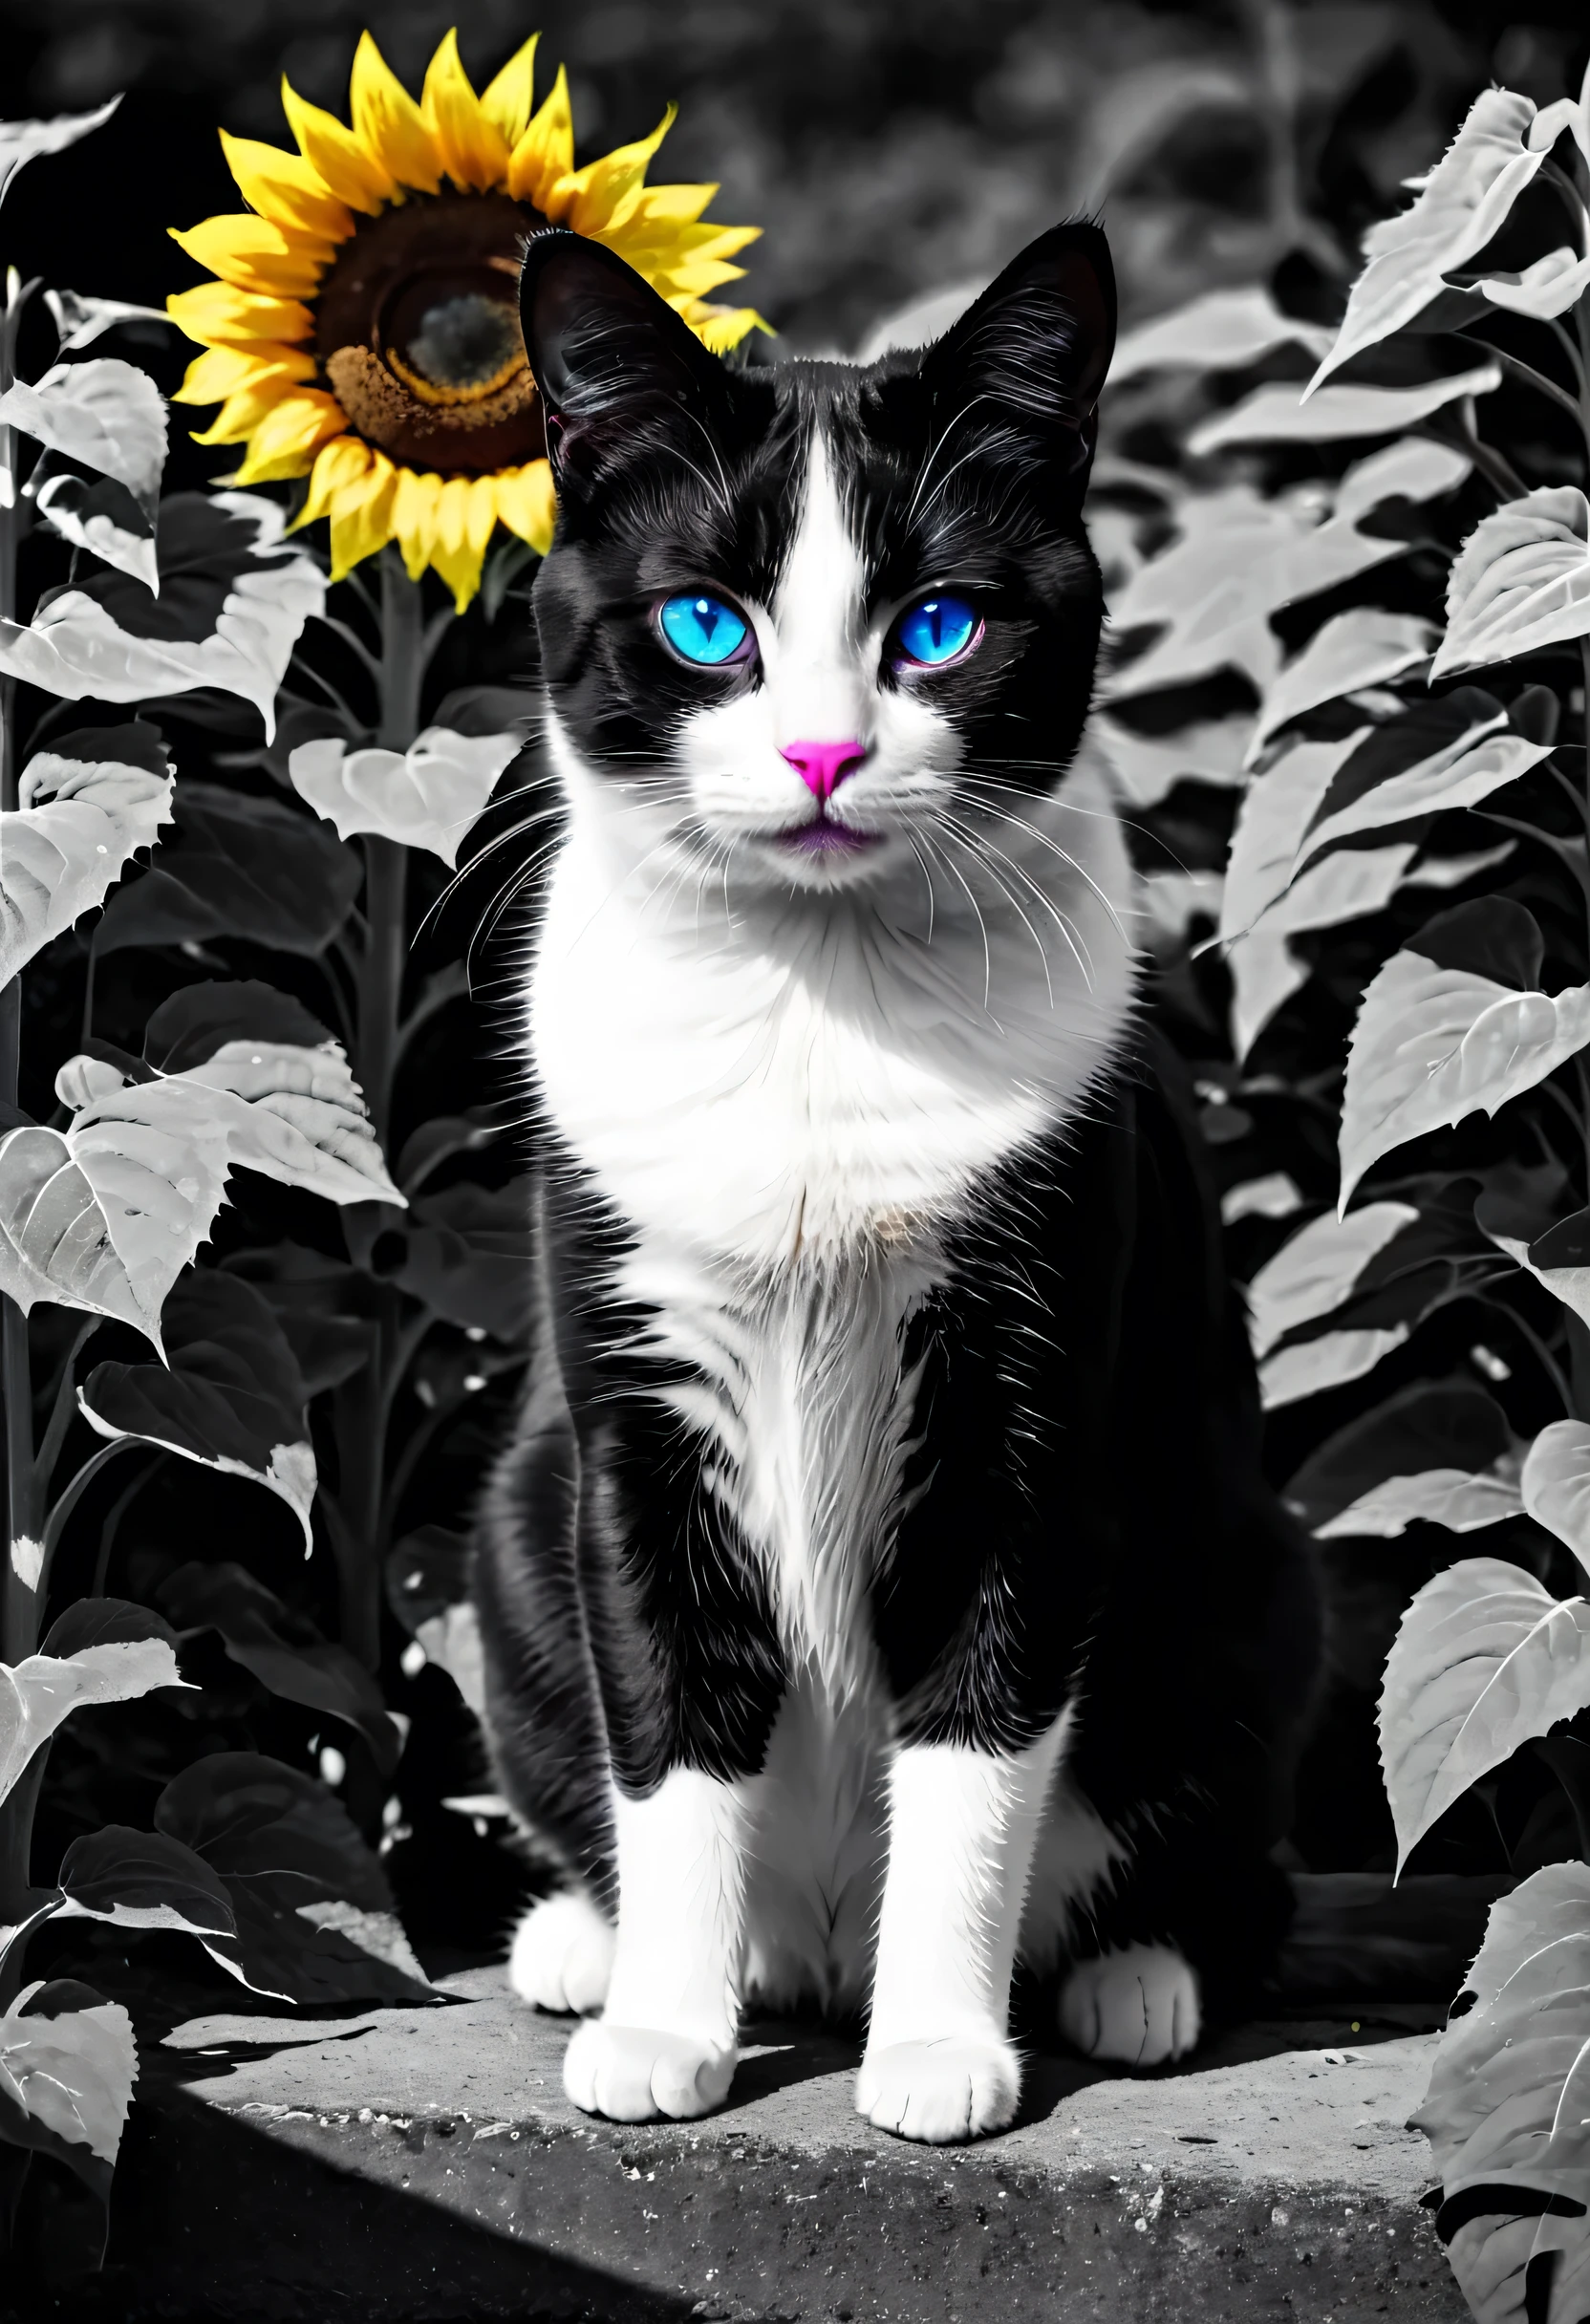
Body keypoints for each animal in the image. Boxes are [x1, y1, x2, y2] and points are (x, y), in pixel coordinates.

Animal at [471, 222, 1320, 2138]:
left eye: (938, 624)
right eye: (706, 622)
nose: (819, 753)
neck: (818, 994)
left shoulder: (1025, 1411)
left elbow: (979, 1736)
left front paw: (936, 2046)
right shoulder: (636, 1418)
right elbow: (669, 1714)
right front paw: (664, 2024)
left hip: (1247, 1559)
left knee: (1224, 1849)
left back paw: (1131, 1977)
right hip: (514, 1520)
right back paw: (587, 1942)